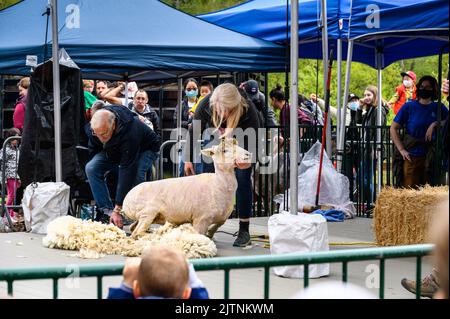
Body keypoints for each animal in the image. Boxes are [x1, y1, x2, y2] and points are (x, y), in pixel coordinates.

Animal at [121, 138, 251, 240]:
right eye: (224, 150)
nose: (248, 155)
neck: (218, 184)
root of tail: (126, 200)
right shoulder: (201, 219)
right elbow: (199, 235)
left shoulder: (222, 217)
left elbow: (218, 225)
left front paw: (210, 234)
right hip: (148, 211)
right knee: (137, 232)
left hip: (145, 216)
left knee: (133, 229)